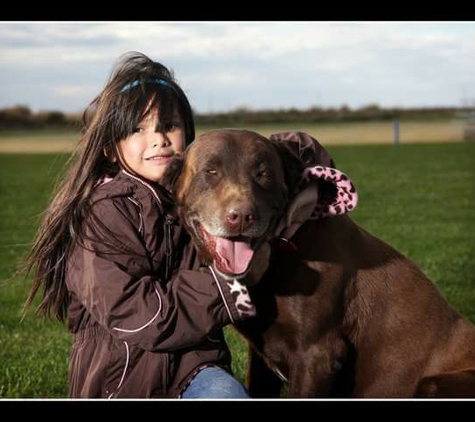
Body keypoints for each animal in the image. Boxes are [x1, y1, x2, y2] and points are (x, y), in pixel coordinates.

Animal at [163, 129, 475, 398]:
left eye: (263, 174)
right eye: (210, 171)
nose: (241, 217)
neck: (282, 250)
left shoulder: (317, 355)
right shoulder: (262, 358)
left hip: (431, 384)